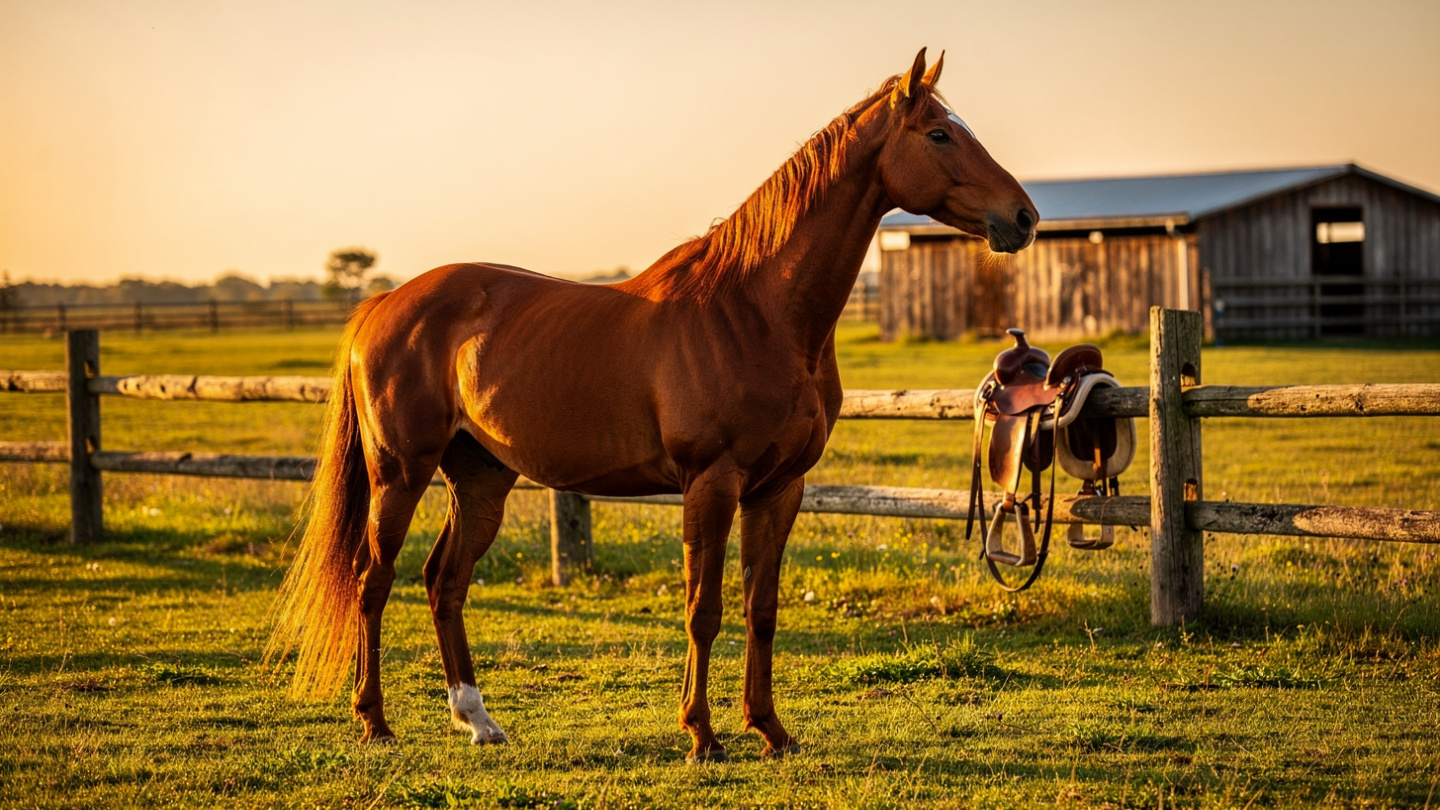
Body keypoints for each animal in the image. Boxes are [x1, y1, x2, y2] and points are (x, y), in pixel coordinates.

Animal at [266, 48, 1036, 763]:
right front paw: (702, 734)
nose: (1023, 217)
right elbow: (704, 609)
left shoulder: (780, 489)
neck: (757, 311)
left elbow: (761, 609)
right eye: (938, 133)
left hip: (481, 477)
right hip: (400, 473)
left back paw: (479, 720)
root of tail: (383, 303)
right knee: (373, 581)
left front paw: (770, 730)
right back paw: (374, 722)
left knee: (443, 582)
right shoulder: (712, 483)